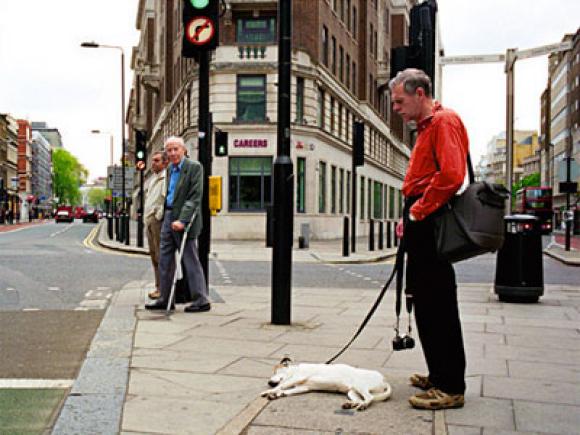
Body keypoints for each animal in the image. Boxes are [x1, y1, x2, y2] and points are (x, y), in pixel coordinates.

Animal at [262, 358, 390, 412]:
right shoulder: (302, 388)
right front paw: (276, 394)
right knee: (359, 399)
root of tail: (384, 380)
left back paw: (363, 405)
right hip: (352, 391)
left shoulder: (297, 377)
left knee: (369, 397)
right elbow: (286, 391)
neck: (295, 370)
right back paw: (350, 404)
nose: (269, 382)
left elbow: (281, 386)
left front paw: (268, 392)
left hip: (360, 385)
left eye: (275, 371)